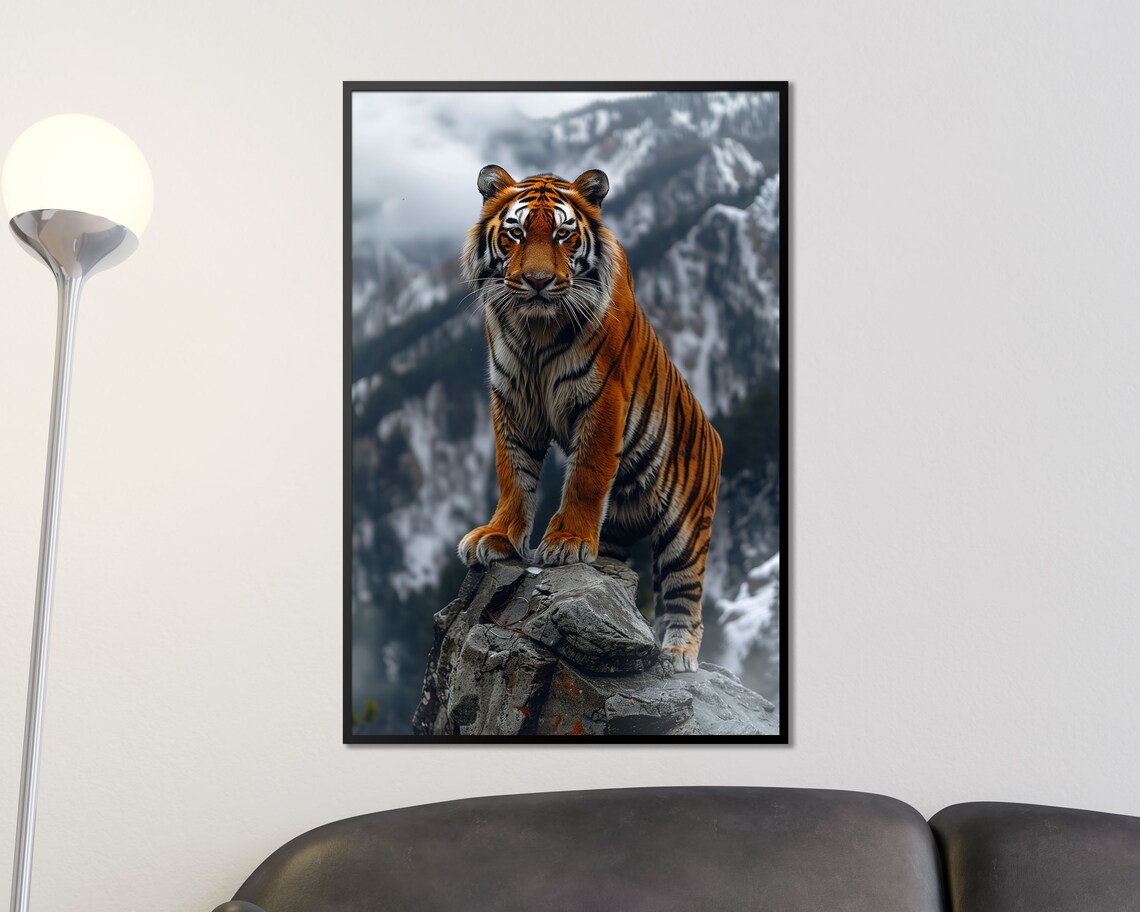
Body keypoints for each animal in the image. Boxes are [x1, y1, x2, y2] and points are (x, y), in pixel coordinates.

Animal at [457, 164, 723, 672]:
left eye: (564, 234)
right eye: (515, 233)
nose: (538, 280)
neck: (535, 330)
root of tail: (715, 433)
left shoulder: (603, 398)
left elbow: (586, 473)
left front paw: (567, 542)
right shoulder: (511, 399)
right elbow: (512, 473)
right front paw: (498, 536)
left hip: (687, 529)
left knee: (685, 593)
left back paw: (677, 655)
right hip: (620, 524)